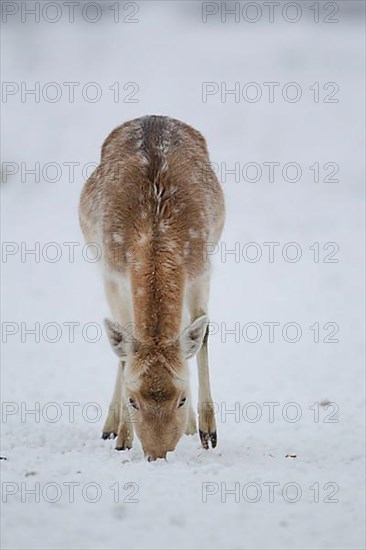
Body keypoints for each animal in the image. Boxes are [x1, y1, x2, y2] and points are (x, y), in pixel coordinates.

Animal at [78, 115, 224, 462]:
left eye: (181, 398)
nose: (158, 455)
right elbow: (124, 350)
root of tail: (153, 115)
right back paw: (109, 427)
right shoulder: (113, 274)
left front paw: (208, 432)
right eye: (134, 400)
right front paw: (123, 438)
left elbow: (203, 333)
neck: (155, 229)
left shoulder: (202, 269)